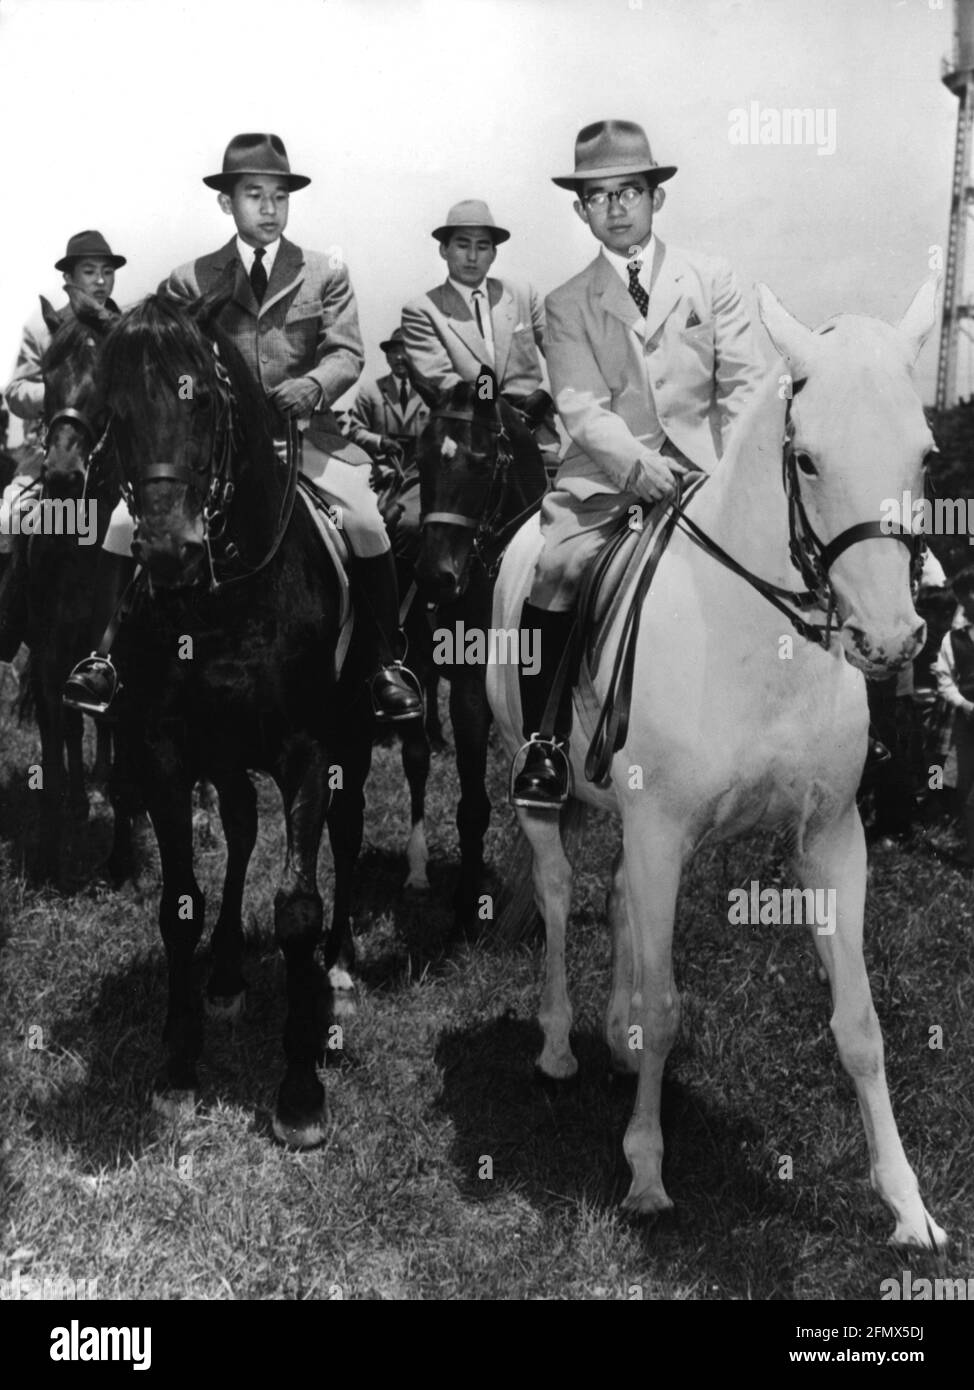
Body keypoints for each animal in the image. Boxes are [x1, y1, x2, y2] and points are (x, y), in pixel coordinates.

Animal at [97, 290, 372, 1139]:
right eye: (115, 413)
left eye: (204, 402)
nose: (170, 552)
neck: (223, 599)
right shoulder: (166, 751)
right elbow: (179, 903)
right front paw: (180, 1064)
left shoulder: (310, 750)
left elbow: (298, 909)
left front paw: (301, 1090)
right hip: (224, 756)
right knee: (245, 828)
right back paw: (222, 974)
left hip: (357, 741)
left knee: (346, 839)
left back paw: (339, 968)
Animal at [489, 276, 944, 1245]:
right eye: (805, 460)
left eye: (926, 456)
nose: (891, 639)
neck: (760, 636)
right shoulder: (663, 830)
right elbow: (668, 1009)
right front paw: (646, 1172)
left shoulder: (830, 839)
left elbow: (861, 1025)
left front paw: (907, 1204)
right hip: (538, 789)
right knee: (558, 892)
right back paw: (560, 1042)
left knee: (618, 897)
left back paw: (614, 1037)